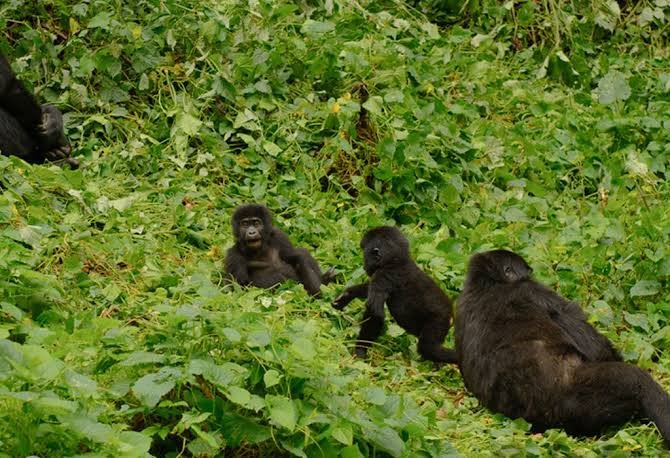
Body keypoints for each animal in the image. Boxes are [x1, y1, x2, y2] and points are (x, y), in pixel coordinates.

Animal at [332, 226, 457, 363]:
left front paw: (360, 350)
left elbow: (375, 313)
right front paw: (346, 295)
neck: (397, 260)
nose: (364, 266)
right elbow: (367, 289)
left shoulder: (382, 276)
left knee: (428, 348)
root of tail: (451, 315)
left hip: (439, 320)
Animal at [455, 249, 670, 443]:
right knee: (636, 382)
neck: (487, 283)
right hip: (582, 400)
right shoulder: (533, 290)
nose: (532, 271)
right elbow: (590, 339)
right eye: (528, 272)